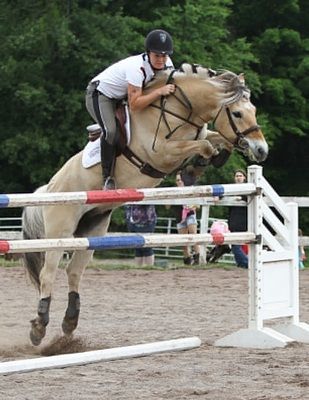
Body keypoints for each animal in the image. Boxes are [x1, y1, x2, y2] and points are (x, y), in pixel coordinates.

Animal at [22, 64, 268, 346]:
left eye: (254, 111)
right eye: (237, 113)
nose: (262, 150)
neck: (181, 108)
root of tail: (50, 187)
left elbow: (215, 139)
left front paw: (208, 161)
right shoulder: (163, 152)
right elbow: (205, 145)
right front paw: (198, 165)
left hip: (93, 228)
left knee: (74, 272)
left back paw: (69, 324)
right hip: (60, 230)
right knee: (48, 273)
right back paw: (39, 328)